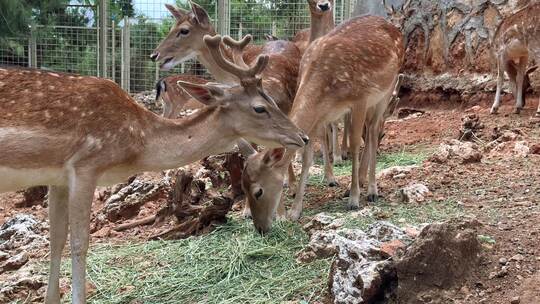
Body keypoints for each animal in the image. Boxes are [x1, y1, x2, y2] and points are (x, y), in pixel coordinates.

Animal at [0, 35, 308, 302]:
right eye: (259, 107)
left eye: (272, 99)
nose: (301, 136)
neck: (137, 143)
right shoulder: (85, 166)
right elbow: (79, 243)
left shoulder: (58, 178)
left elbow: (56, 240)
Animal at [242, 14, 404, 233]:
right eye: (243, 187)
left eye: (258, 191)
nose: (260, 228)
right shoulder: (322, 117)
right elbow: (307, 157)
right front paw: (295, 211)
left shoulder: (360, 99)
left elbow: (354, 145)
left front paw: (353, 198)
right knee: (371, 130)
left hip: (386, 91)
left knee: (372, 130)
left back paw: (371, 190)